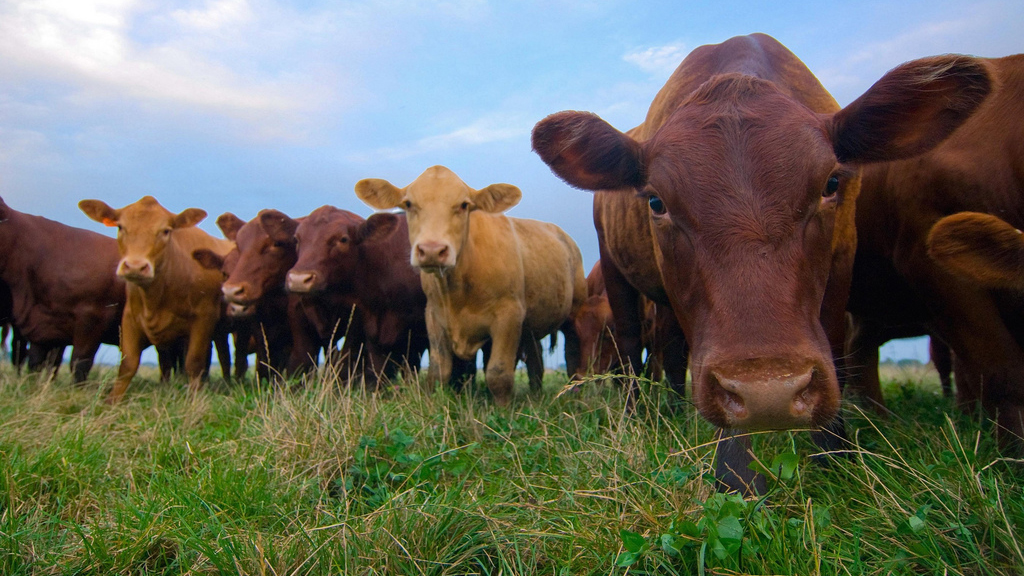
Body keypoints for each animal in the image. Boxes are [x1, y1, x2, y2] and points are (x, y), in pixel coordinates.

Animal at [79, 196, 234, 403]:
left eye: (166, 231)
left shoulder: (204, 317)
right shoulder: (130, 317)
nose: (135, 266)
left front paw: (194, 399)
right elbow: (128, 364)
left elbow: (194, 362)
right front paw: (112, 401)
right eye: (120, 227)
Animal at [354, 165, 587, 405]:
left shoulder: (509, 315)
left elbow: (498, 373)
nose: (431, 250)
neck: (457, 289)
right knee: (536, 359)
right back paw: (536, 394)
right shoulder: (434, 316)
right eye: (409, 204)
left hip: (575, 310)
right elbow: (438, 371)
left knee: (572, 353)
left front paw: (503, 409)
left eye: (464, 205)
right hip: (531, 325)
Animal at [531, 33, 991, 493]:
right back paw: (638, 417)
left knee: (671, 347)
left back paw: (676, 411)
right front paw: (736, 474)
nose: (769, 393)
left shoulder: (843, 258)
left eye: (831, 183)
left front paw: (834, 454)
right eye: (656, 202)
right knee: (631, 347)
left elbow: (834, 345)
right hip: (616, 272)